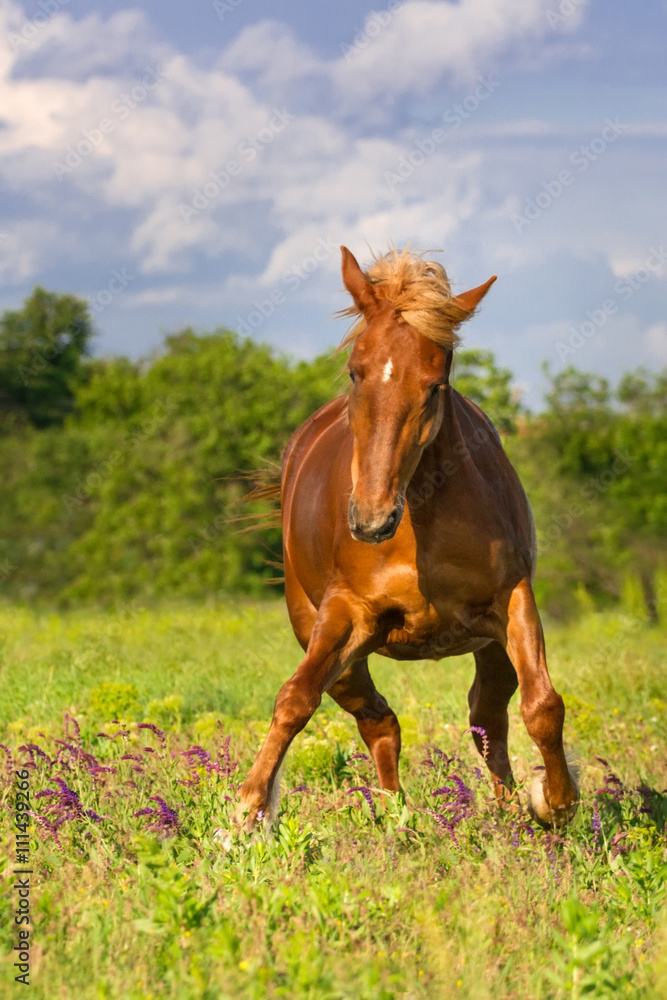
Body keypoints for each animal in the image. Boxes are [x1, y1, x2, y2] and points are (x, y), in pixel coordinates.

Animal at [234, 245, 579, 834]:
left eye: (435, 384)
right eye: (356, 373)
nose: (371, 521)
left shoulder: (512, 600)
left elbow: (542, 706)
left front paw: (553, 801)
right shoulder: (345, 613)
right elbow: (294, 700)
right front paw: (244, 814)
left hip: (489, 647)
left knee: (486, 717)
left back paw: (503, 811)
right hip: (326, 638)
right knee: (378, 720)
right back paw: (397, 816)